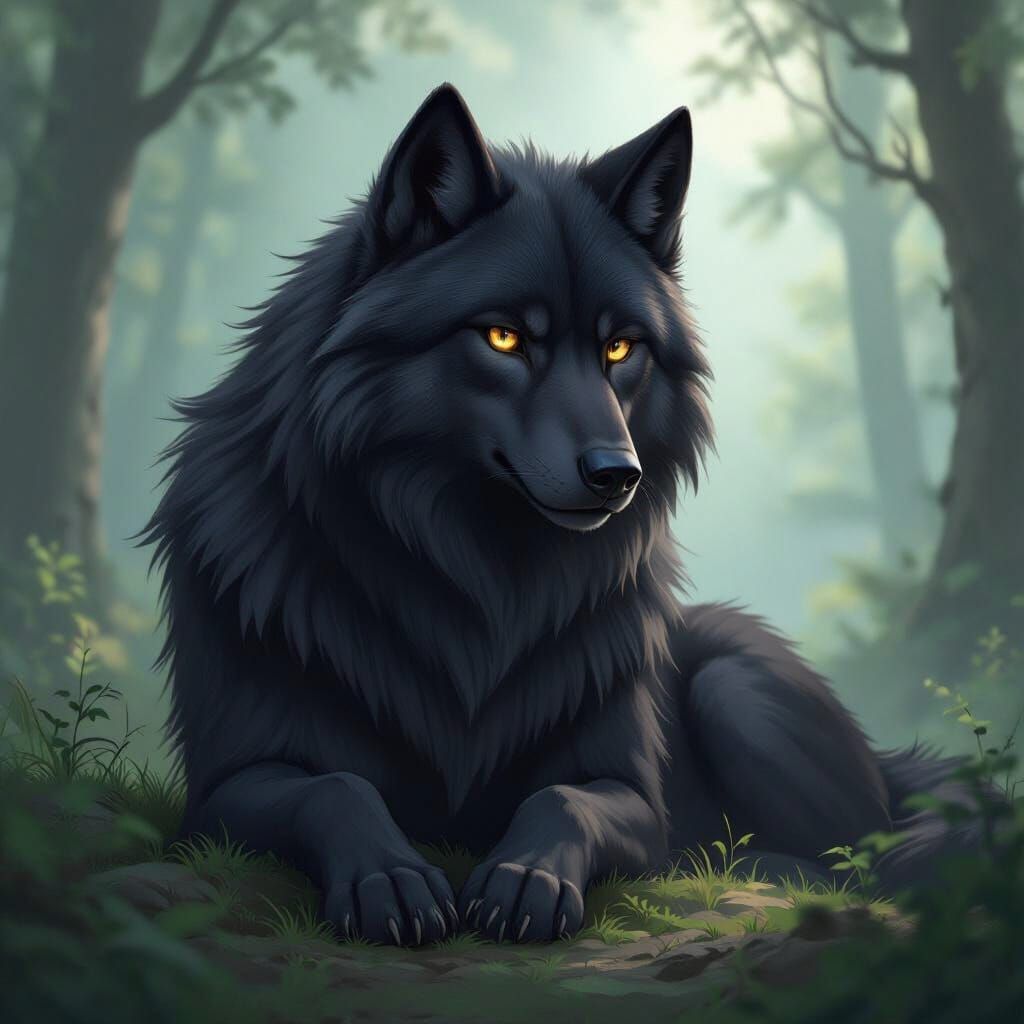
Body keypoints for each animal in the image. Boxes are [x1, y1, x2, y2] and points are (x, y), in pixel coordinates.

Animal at [145, 84, 975, 946]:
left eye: (620, 348)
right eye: (505, 337)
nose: (618, 475)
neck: (475, 578)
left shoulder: (632, 794)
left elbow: (562, 799)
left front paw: (525, 878)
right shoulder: (223, 787)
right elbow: (334, 786)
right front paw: (391, 878)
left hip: (735, 686)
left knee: (870, 853)